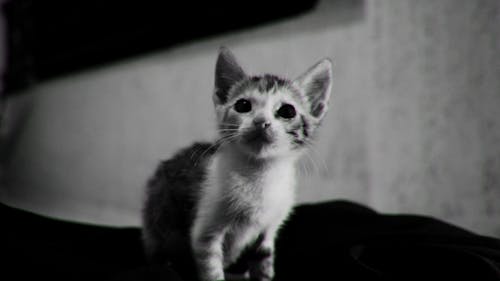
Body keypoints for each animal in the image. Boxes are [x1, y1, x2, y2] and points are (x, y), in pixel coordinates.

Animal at [142, 47, 332, 280]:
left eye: (287, 111)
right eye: (243, 105)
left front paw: (261, 274)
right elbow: (212, 271)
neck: (259, 173)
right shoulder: (205, 232)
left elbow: (263, 259)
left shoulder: (269, 229)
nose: (261, 121)